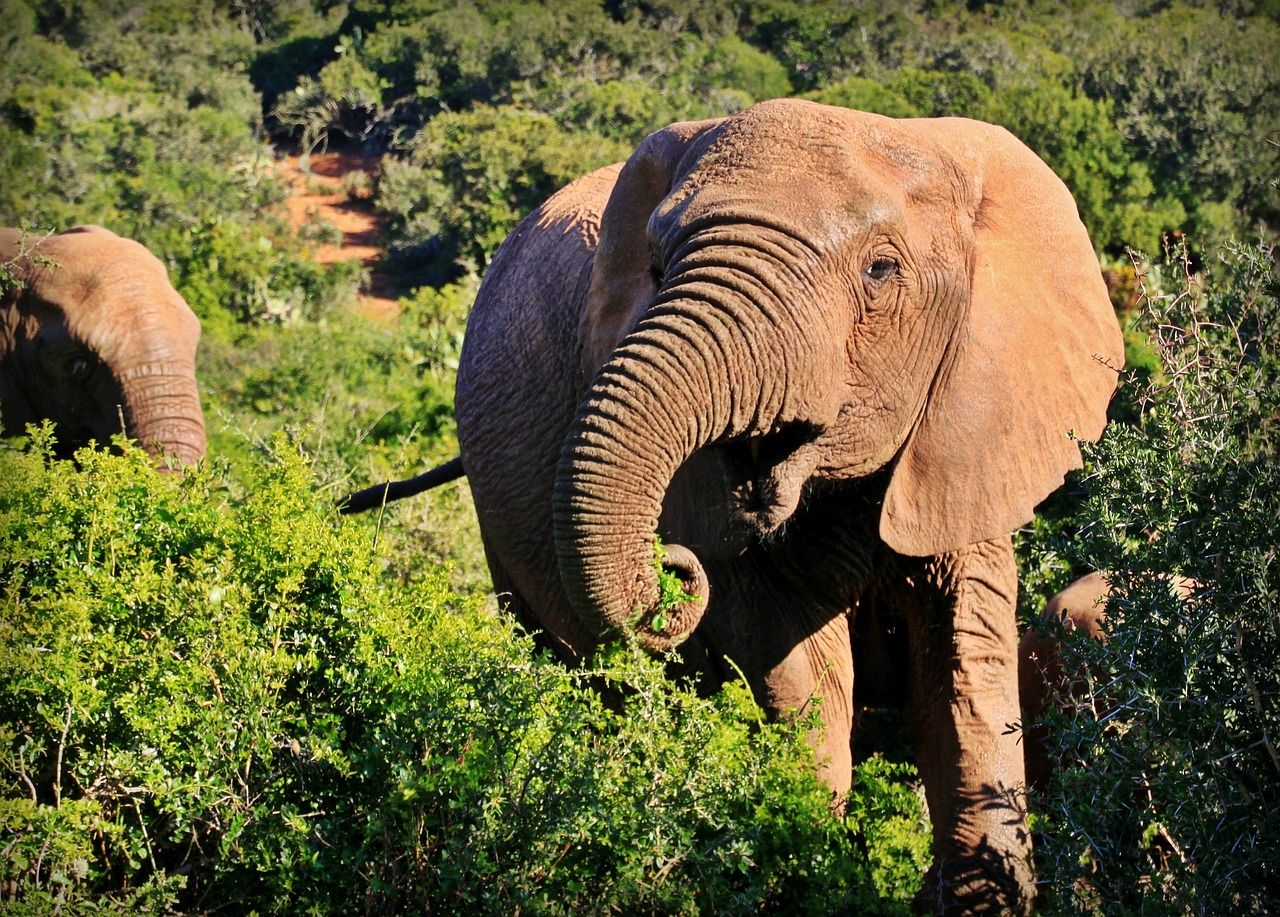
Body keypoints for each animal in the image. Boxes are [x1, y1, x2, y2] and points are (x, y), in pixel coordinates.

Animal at [343, 101, 1121, 911]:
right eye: (658, 270)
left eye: (881, 270)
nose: (672, 567)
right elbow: (793, 662)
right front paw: (802, 863)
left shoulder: (965, 428)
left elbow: (967, 660)